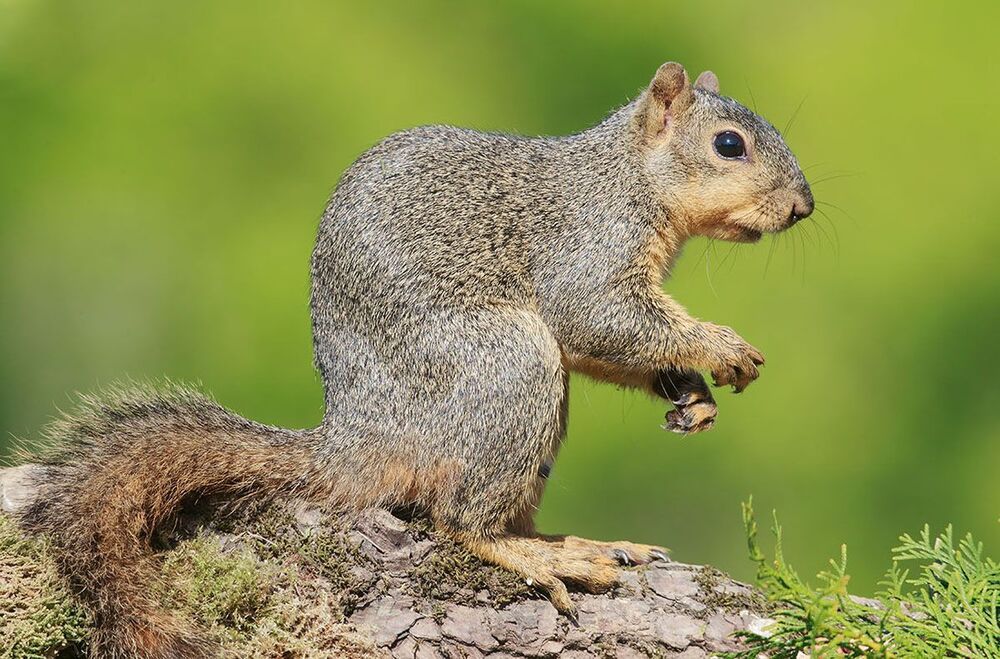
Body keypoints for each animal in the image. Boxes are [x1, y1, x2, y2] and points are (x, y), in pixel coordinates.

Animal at [18, 62, 813, 658]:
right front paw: (721, 346)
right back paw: (540, 556)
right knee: (462, 521)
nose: (803, 206)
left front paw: (693, 393)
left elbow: (622, 348)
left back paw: (567, 539)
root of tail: (359, 439)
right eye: (730, 145)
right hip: (508, 366)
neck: (630, 178)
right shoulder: (587, 250)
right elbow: (599, 321)